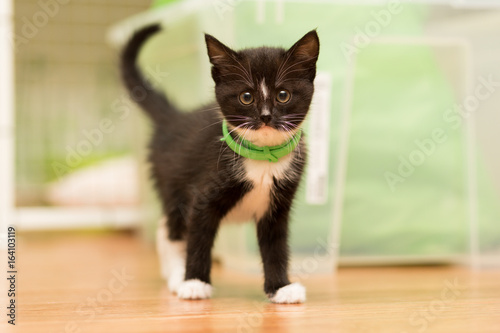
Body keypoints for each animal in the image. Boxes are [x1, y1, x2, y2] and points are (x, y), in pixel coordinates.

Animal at [119, 24, 318, 302]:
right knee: (170, 229)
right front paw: (194, 282)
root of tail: (175, 118)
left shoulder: (278, 205)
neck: (262, 157)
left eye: (283, 95)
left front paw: (281, 287)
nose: (265, 116)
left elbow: (276, 245)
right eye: (246, 97)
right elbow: (198, 239)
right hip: (172, 184)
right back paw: (176, 275)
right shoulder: (202, 197)